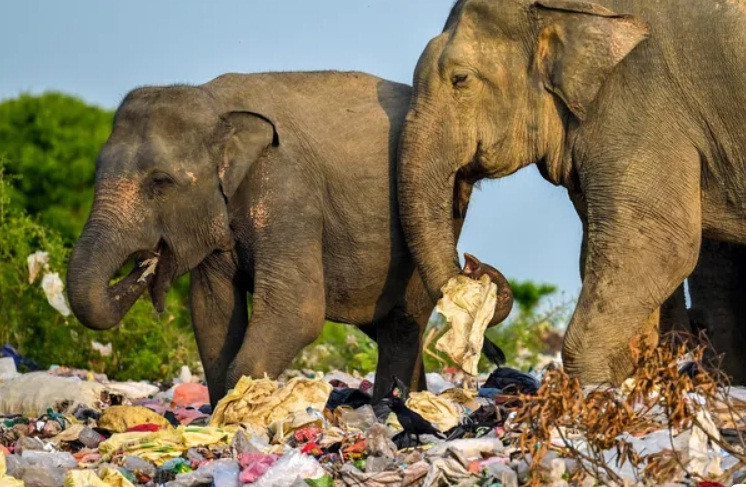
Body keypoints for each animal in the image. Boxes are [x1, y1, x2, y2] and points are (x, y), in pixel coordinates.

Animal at [67, 69, 516, 404]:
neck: (216, 105)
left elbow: (297, 310)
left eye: (160, 182)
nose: (144, 263)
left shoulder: (287, 191)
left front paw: (237, 411)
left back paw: (390, 411)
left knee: (403, 321)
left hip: (436, 207)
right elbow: (212, 313)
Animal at [396, 0, 744, 386]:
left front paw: (596, 388)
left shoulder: (639, 104)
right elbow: (602, 250)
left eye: (461, 79)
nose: (472, 263)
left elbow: (660, 247)